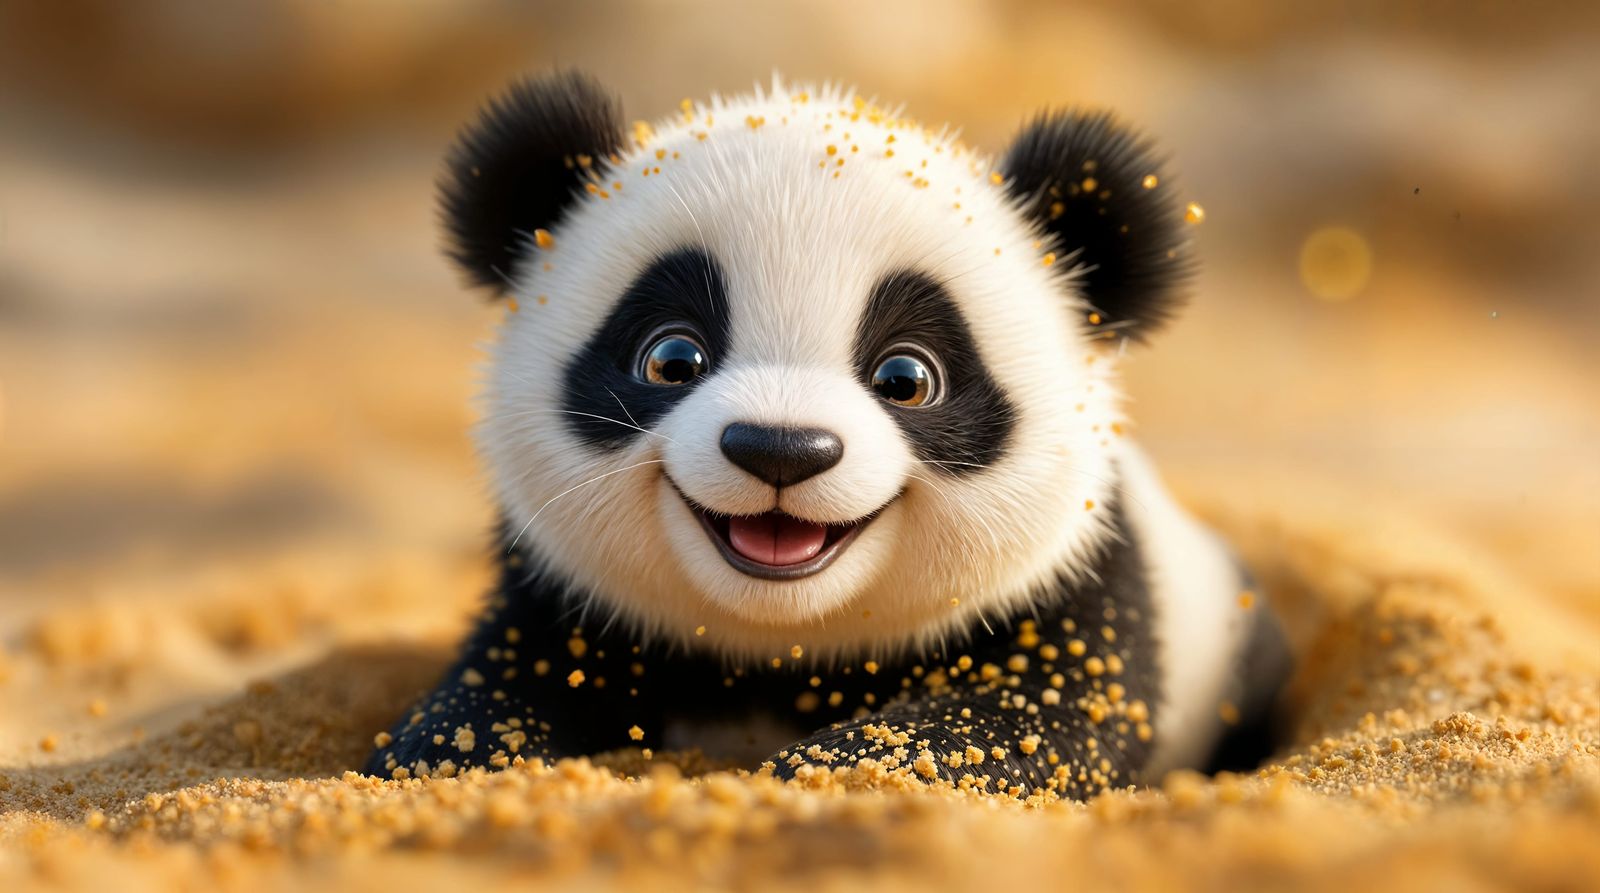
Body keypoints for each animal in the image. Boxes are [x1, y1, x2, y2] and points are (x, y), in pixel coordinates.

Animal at [364, 70, 1290, 798]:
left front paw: (829, 773)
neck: (787, 648)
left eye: (907, 378)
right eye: (672, 357)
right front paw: (438, 756)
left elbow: (1038, 718)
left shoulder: (1078, 583)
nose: (779, 448)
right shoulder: (566, 594)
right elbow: (493, 699)